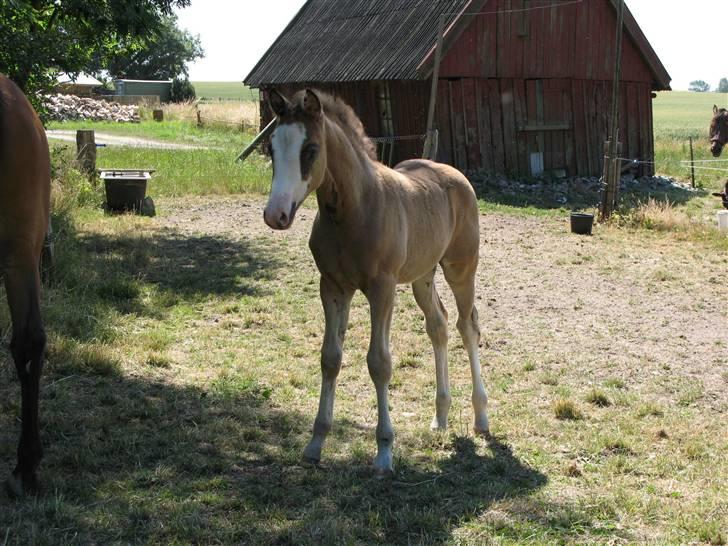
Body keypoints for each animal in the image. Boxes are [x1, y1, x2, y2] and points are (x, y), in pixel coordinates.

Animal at [264, 89, 490, 472]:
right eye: (271, 147)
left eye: (311, 149)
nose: (274, 214)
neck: (353, 210)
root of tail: (454, 174)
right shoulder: (333, 287)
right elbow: (330, 358)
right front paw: (315, 443)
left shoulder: (381, 289)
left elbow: (379, 363)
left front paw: (384, 452)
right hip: (422, 276)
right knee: (438, 325)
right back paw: (440, 416)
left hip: (460, 268)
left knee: (467, 326)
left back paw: (481, 417)